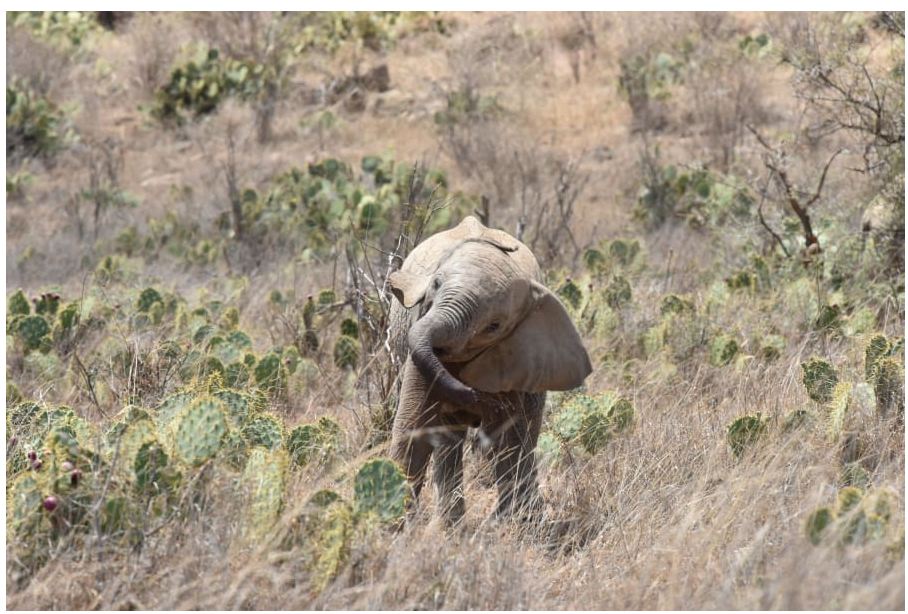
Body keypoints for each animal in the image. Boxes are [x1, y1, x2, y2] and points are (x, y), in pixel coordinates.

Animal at [386, 217, 592, 524]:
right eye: (436, 284)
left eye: (493, 326)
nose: (474, 395)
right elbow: (413, 429)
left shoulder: (519, 358)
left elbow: (511, 438)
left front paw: (514, 525)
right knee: (449, 438)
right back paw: (451, 526)